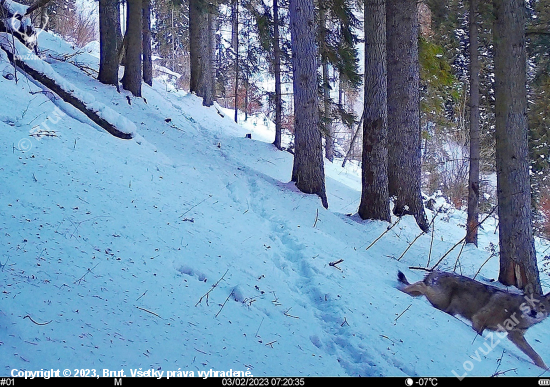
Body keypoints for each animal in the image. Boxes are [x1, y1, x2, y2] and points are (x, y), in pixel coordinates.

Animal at [398, 272, 548, 368]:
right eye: (530, 303)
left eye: (542, 307)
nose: (534, 312)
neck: (515, 313)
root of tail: (436, 271)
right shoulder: (479, 319)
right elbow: (478, 333)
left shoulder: (515, 336)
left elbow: (535, 354)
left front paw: (544, 368)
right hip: (439, 300)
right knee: (419, 285)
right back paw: (401, 289)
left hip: (446, 307)